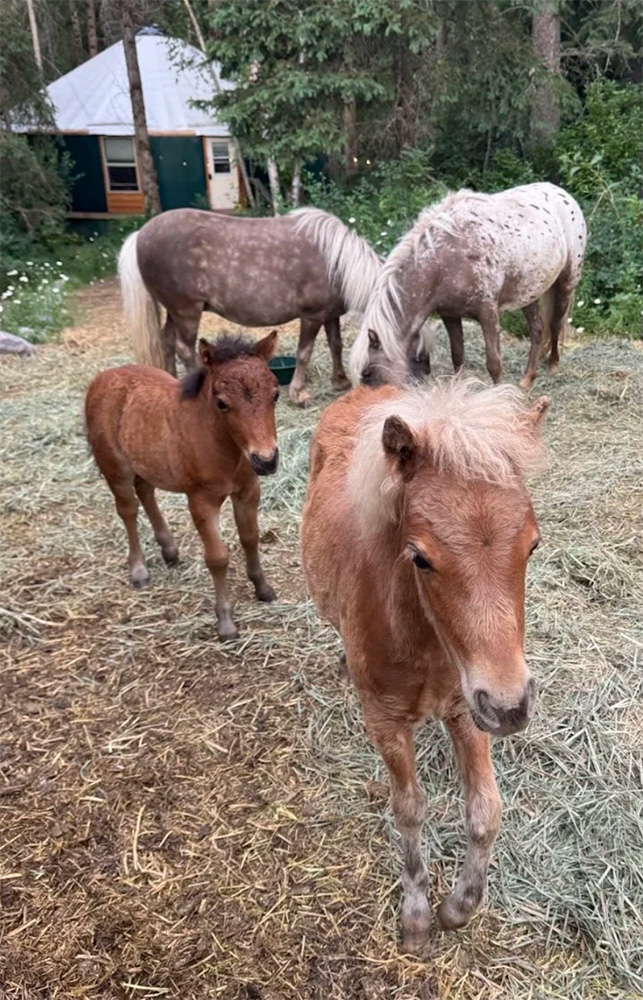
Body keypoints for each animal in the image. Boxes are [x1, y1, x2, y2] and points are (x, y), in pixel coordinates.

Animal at [85, 332, 280, 640]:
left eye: (276, 394)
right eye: (221, 403)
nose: (267, 460)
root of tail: (102, 377)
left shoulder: (248, 491)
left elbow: (250, 538)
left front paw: (263, 589)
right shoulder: (200, 501)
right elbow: (217, 557)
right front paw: (226, 622)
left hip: (144, 461)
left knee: (146, 492)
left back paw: (169, 551)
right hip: (116, 468)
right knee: (128, 510)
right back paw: (139, 570)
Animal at [118, 206, 382, 407]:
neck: (336, 263)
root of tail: (140, 234)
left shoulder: (330, 315)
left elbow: (335, 345)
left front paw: (340, 381)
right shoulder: (312, 317)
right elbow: (304, 353)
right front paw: (299, 393)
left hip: (175, 312)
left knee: (168, 341)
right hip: (187, 312)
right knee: (184, 348)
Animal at [301, 377, 549, 952]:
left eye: (533, 544)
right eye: (419, 556)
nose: (513, 708)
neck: (431, 648)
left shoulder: (469, 709)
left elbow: (485, 810)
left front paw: (459, 907)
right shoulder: (386, 721)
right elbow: (410, 810)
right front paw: (416, 916)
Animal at [350, 182, 586, 390]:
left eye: (368, 373)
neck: (444, 261)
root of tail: (564, 195)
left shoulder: (488, 313)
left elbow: (494, 363)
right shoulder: (450, 314)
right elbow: (457, 357)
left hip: (566, 283)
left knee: (555, 324)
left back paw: (553, 366)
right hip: (529, 293)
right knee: (537, 330)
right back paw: (527, 379)